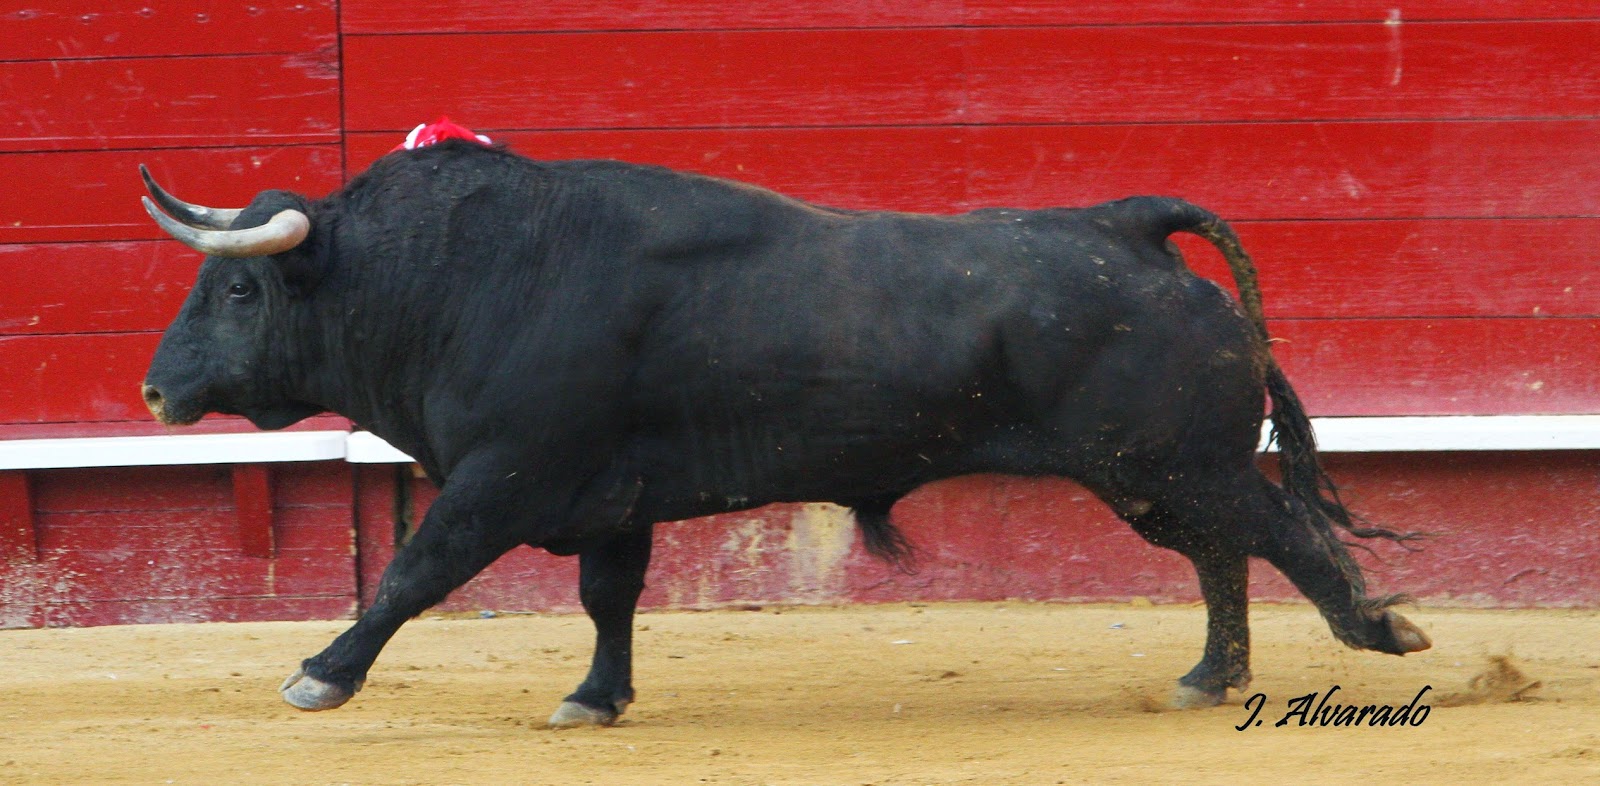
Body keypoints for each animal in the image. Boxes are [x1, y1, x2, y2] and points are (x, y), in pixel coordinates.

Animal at [137, 138, 1429, 728]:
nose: (154, 394)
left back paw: (1379, 633)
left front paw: (320, 674)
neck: (458, 278)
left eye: (238, 290)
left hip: (1168, 460)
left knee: (1279, 533)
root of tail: (1126, 225)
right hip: (1152, 477)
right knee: (1223, 551)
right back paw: (1211, 677)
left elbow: (412, 572)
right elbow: (608, 599)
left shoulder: (507, 477)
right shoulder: (610, 497)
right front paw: (595, 697)